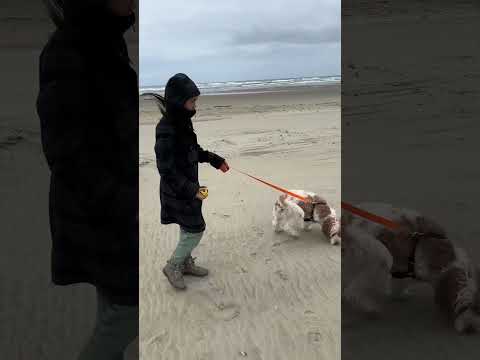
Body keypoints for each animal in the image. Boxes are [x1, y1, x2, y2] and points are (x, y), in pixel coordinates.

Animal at [344, 202, 478, 334]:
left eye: (478, 309)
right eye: (463, 307)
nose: (471, 329)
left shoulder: (403, 269)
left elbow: (399, 284)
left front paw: (398, 294)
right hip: (379, 254)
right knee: (352, 291)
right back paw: (368, 307)